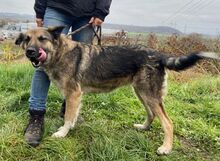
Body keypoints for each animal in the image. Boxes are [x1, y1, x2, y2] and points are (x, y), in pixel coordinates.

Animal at [15, 26, 220, 155]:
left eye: (42, 39)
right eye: (27, 39)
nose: (30, 52)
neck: (60, 53)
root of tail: (159, 54)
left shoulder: (74, 94)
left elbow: (68, 117)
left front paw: (62, 133)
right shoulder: (75, 96)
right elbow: (72, 116)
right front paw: (69, 128)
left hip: (149, 95)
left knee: (168, 122)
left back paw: (166, 148)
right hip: (141, 93)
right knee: (152, 114)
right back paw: (143, 127)